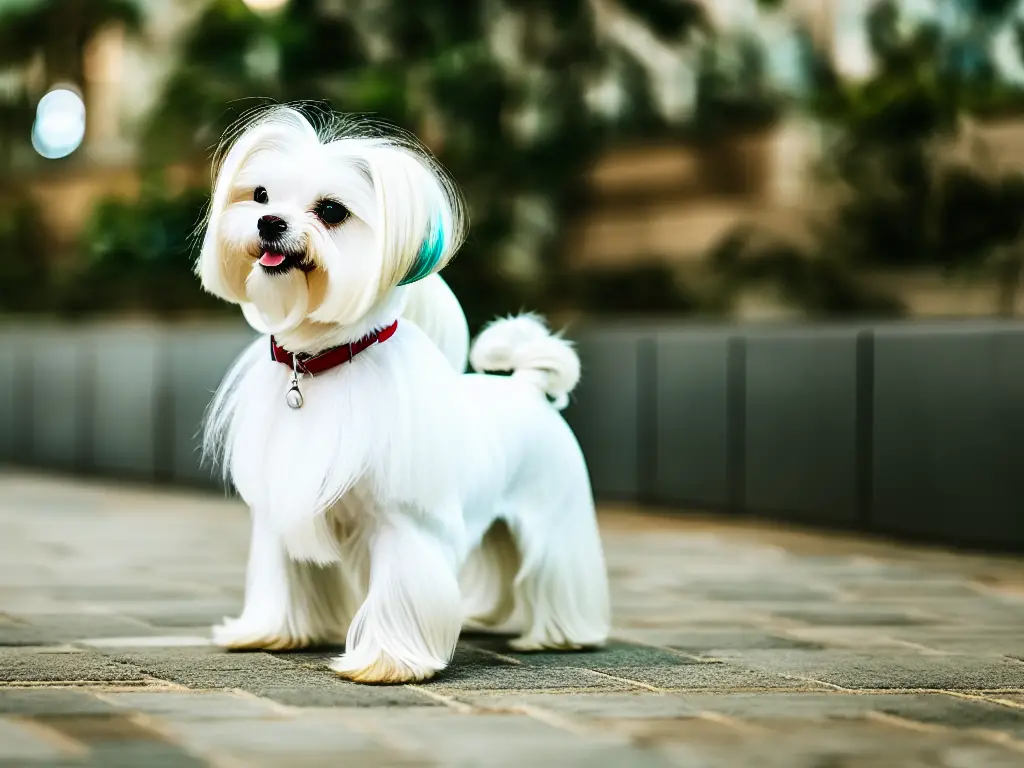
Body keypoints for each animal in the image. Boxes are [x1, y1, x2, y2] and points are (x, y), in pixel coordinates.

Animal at [197, 103, 606, 684]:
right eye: (259, 194)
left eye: (331, 210)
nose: (269, 222)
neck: (319, 362)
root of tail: (525, 386)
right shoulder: (285, 505)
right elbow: (287, 577)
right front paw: (272, 632)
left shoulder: (403, 521)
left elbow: (401, 587)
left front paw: (386, 662)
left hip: (551, 518)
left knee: (554, 571)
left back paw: (560, 635)